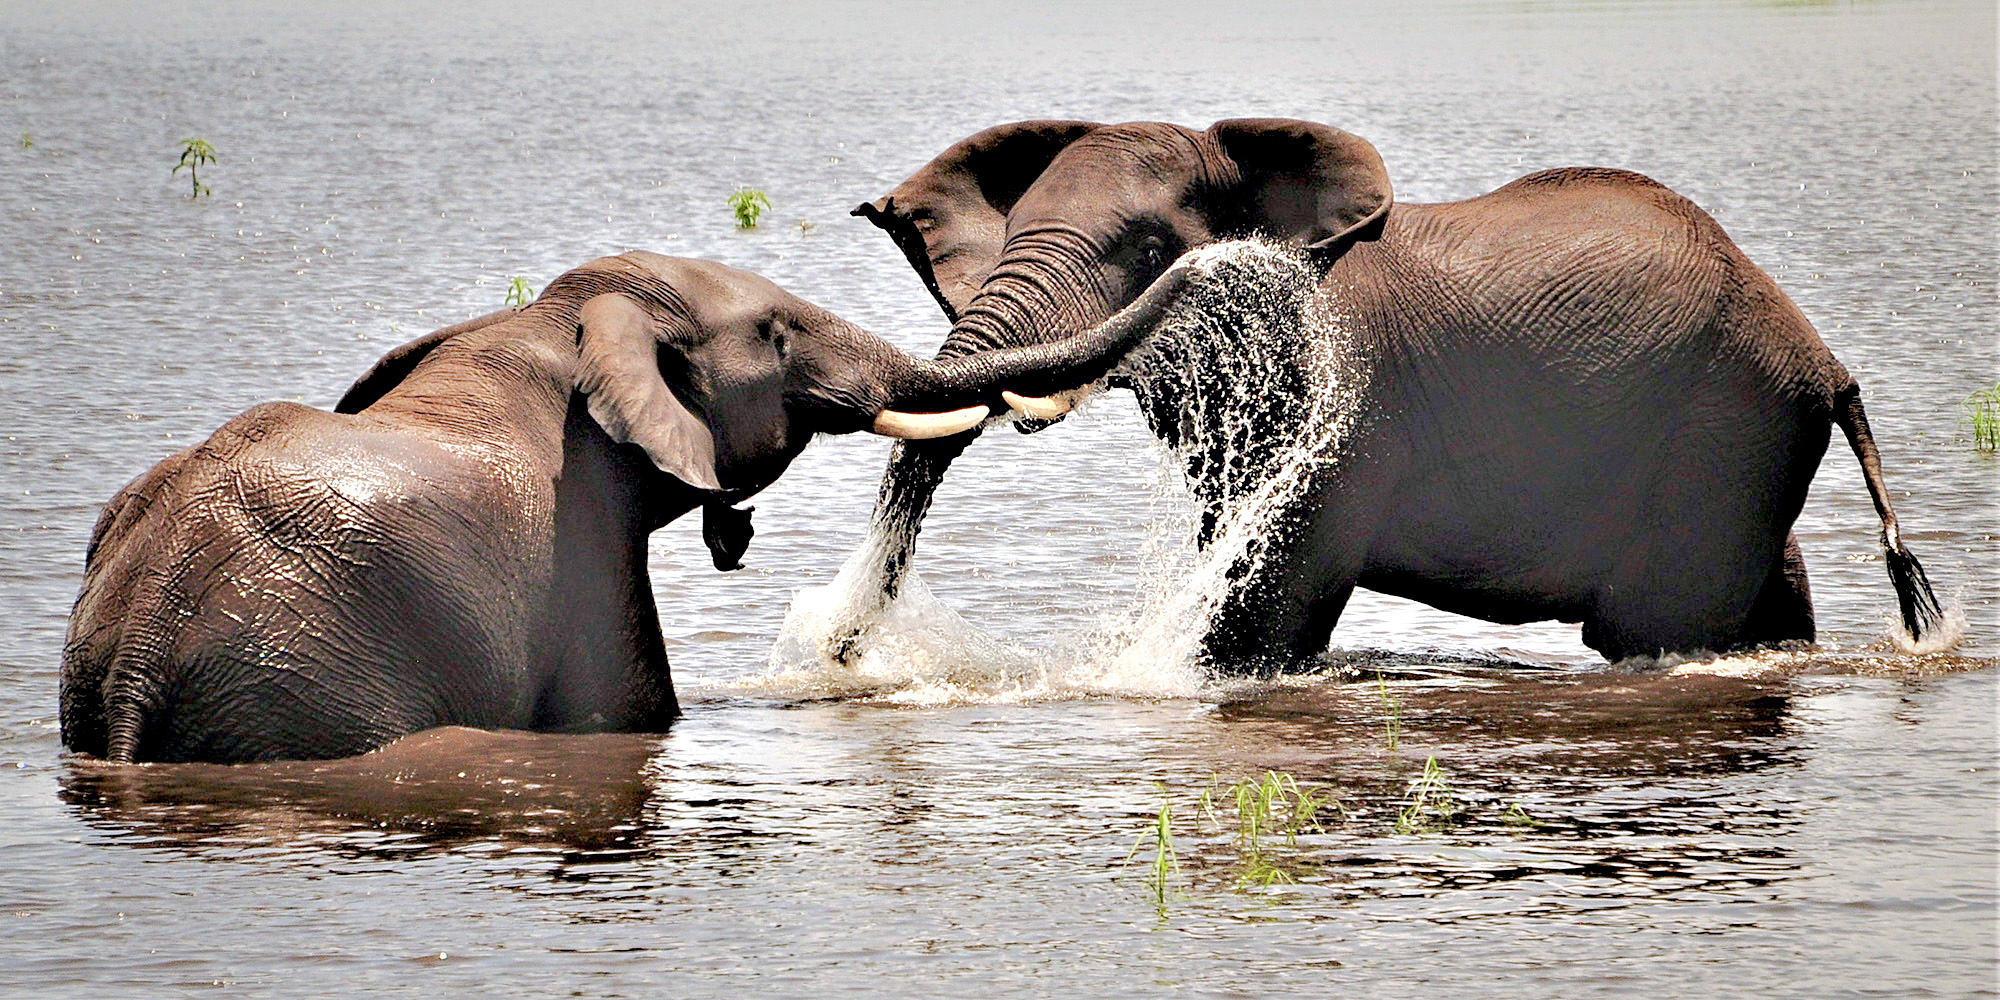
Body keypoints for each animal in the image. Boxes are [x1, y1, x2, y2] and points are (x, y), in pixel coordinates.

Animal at [61, 251, 1148, 763]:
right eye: (777, 333)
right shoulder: (579, 546)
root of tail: (143, 655)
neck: (550, 322)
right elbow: (622, 713)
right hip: (312, 684)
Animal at [832, 118, 1944, 667]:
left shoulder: (1346, 396)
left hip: (1722, 426)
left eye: (1151, 252)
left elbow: (1274, 590)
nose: (840, 651)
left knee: (1653, 626)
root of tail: (1826, 359)